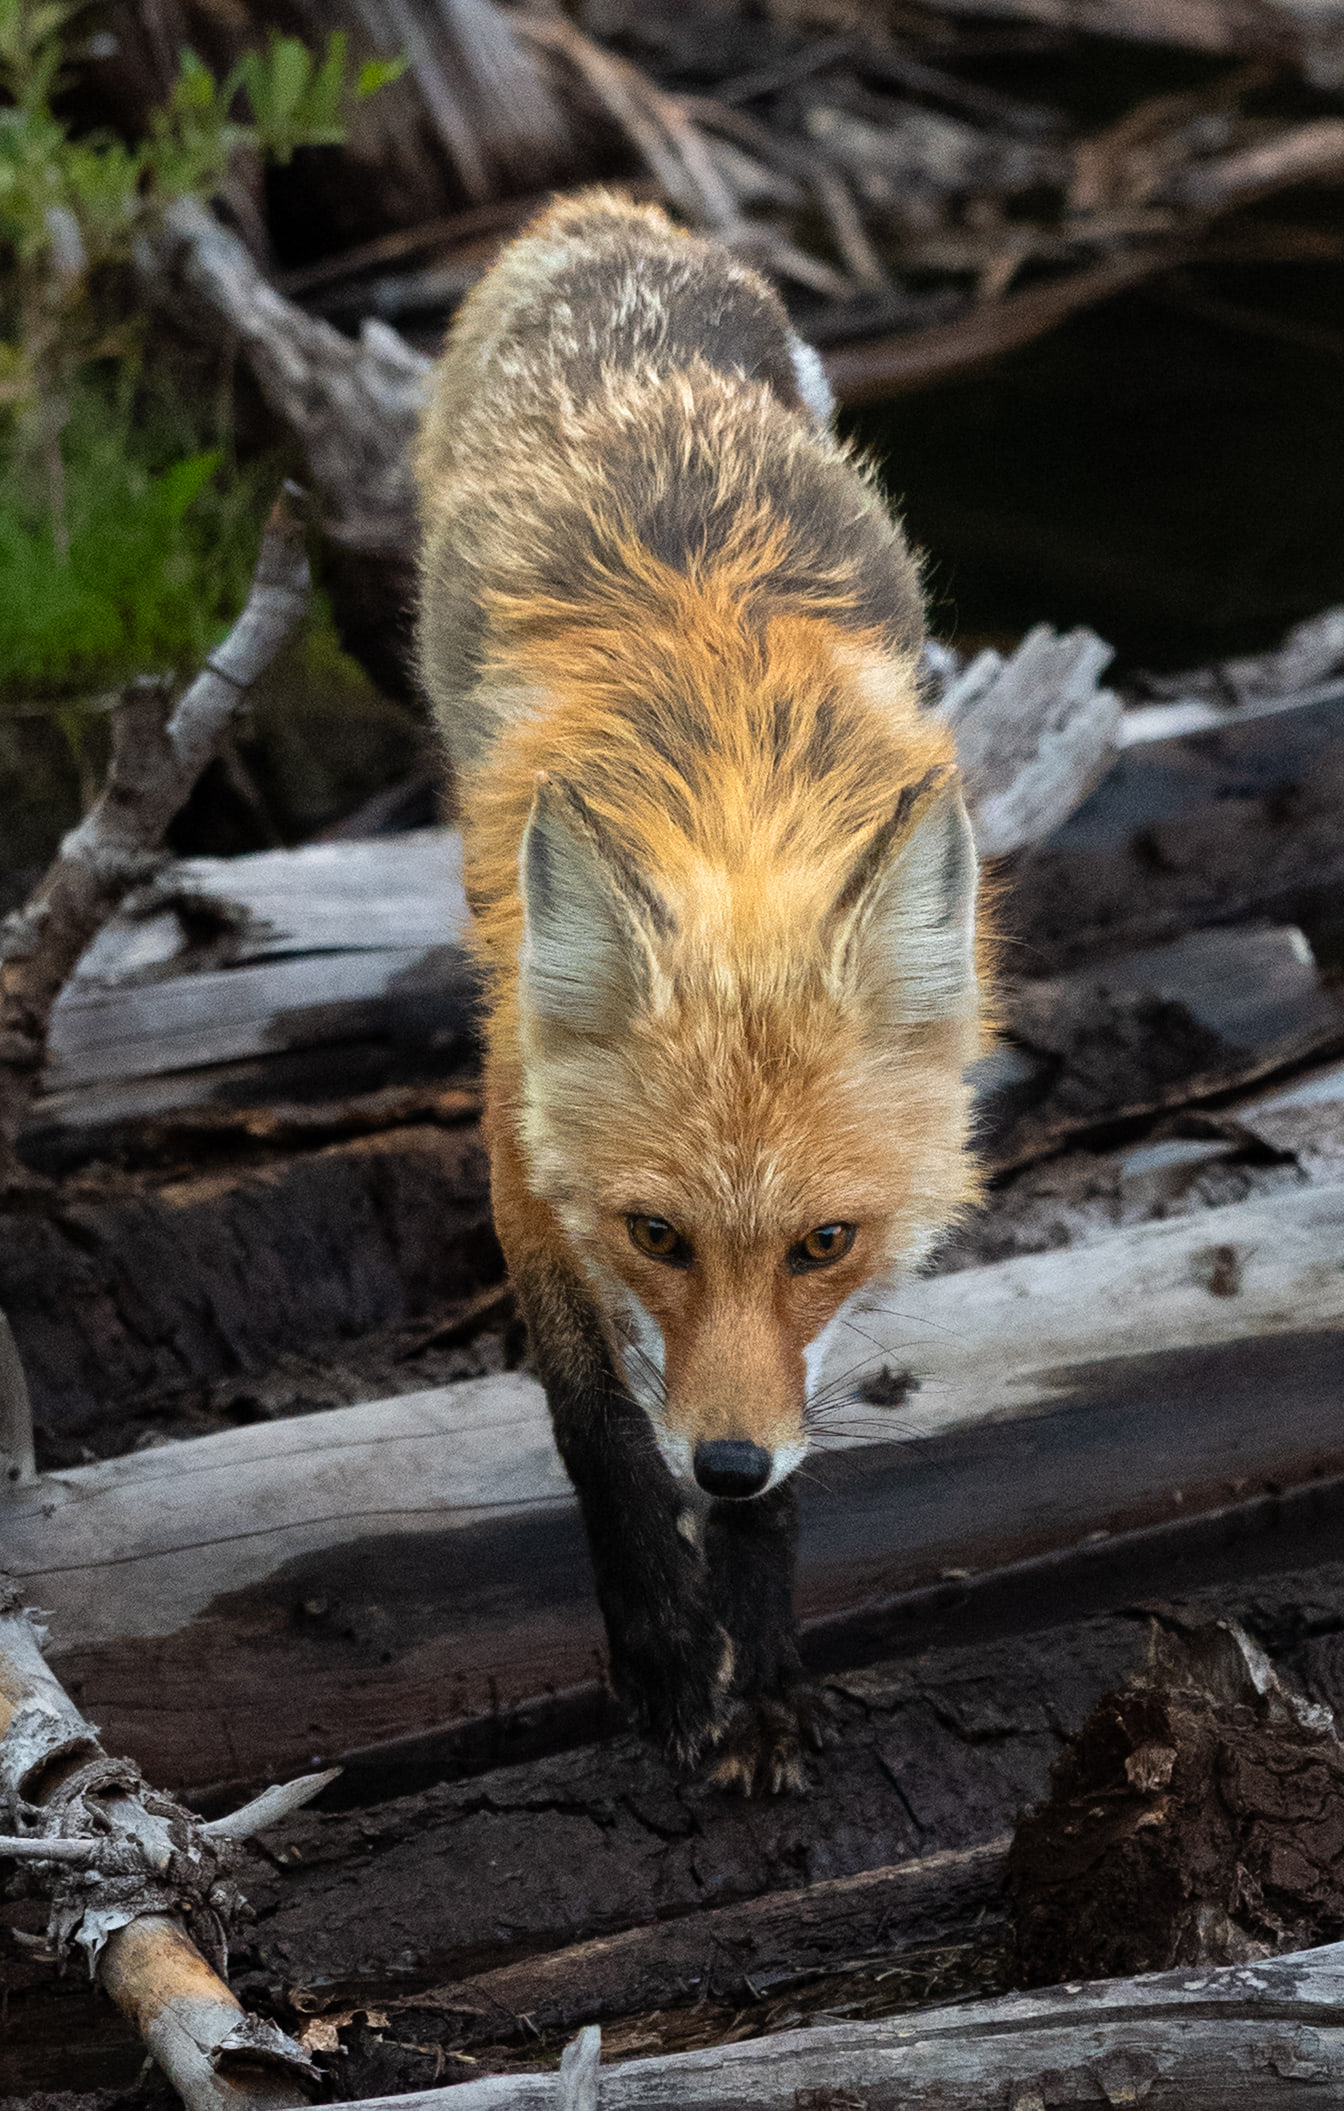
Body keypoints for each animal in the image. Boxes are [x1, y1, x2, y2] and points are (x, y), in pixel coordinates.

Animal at [415, 190, 989, 1794]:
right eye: (654, 1234)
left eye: (826, 1242)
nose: (724, 1462)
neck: (732, 794)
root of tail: (602, 216)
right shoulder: (522, 1122)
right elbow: (598, 1422)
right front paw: (670, 1654)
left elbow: (789, 1446)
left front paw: (767, 1657)